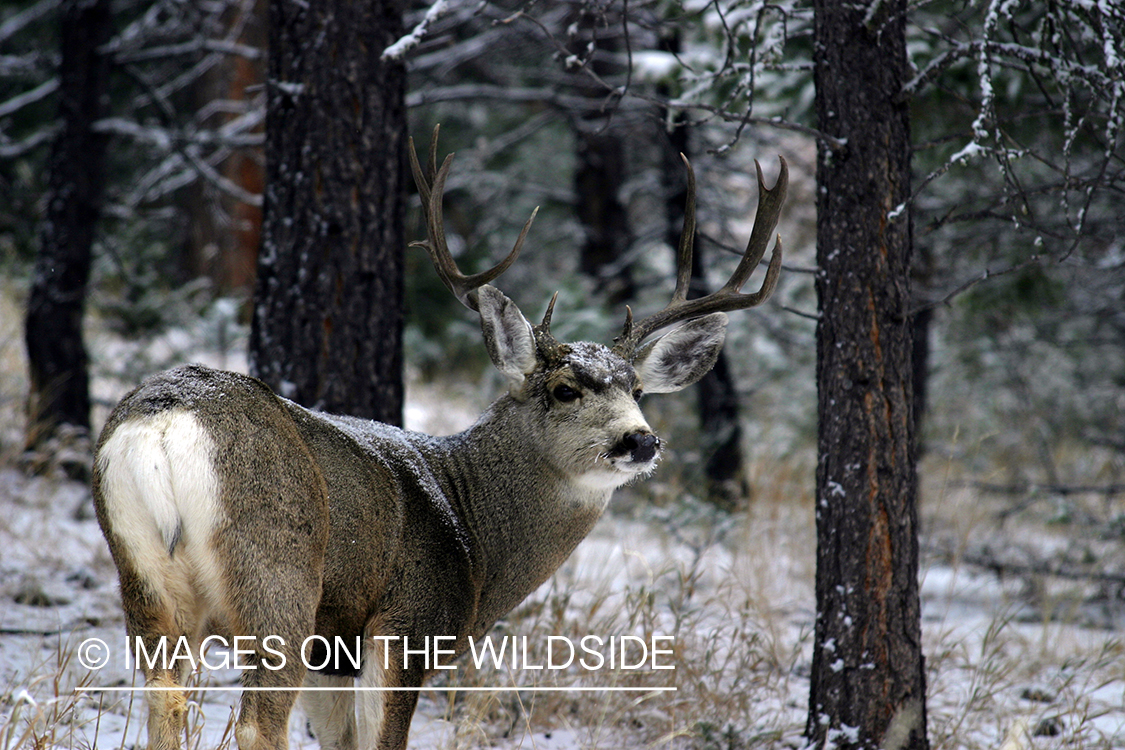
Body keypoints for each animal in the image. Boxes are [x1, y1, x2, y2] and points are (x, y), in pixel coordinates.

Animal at [91, 127, 788, 750]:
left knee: (164, 708)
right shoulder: (408, 624)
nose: (640, 441)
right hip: (277, 573)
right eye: (565, 389)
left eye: (637, 388)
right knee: (258, 724)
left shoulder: (335, 653)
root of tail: (164, 421)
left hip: (144, 580)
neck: (473, 531)